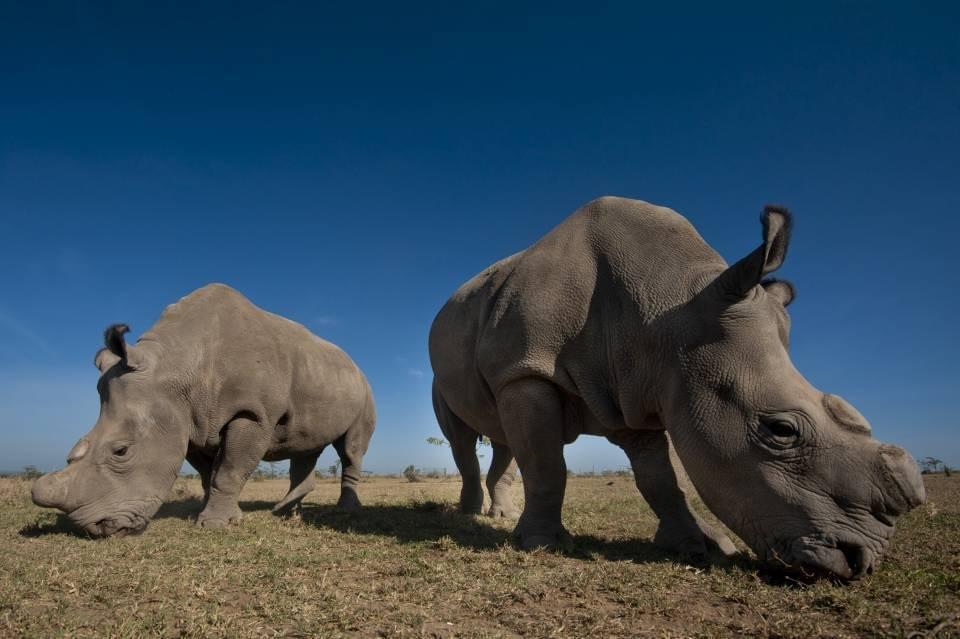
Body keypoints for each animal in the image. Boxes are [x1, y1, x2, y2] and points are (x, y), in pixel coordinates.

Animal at [32, 283, 376, 536]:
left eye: (121, 451)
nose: (94, 528)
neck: (177, 365)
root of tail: (354, 364)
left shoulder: (252, 414)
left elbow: (229, 470)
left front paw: (215, 524)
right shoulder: (188, 420)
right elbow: (208, 473)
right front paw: (208, 512)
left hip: (364, 388)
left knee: (350, 449)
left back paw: (343, 509)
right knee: (305, 446)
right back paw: (286, 512)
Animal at [429, 196, 925, 579]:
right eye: (781, 430)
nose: (860, 561)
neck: (670, 308)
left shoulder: (635, 386)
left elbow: (660, 479)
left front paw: (701, 545)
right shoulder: (527, 371)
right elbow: (548, 466)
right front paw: (542, 545)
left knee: (503, 439)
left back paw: (500, 516)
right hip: (455, 374)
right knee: (464, 439)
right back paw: (470, 515)